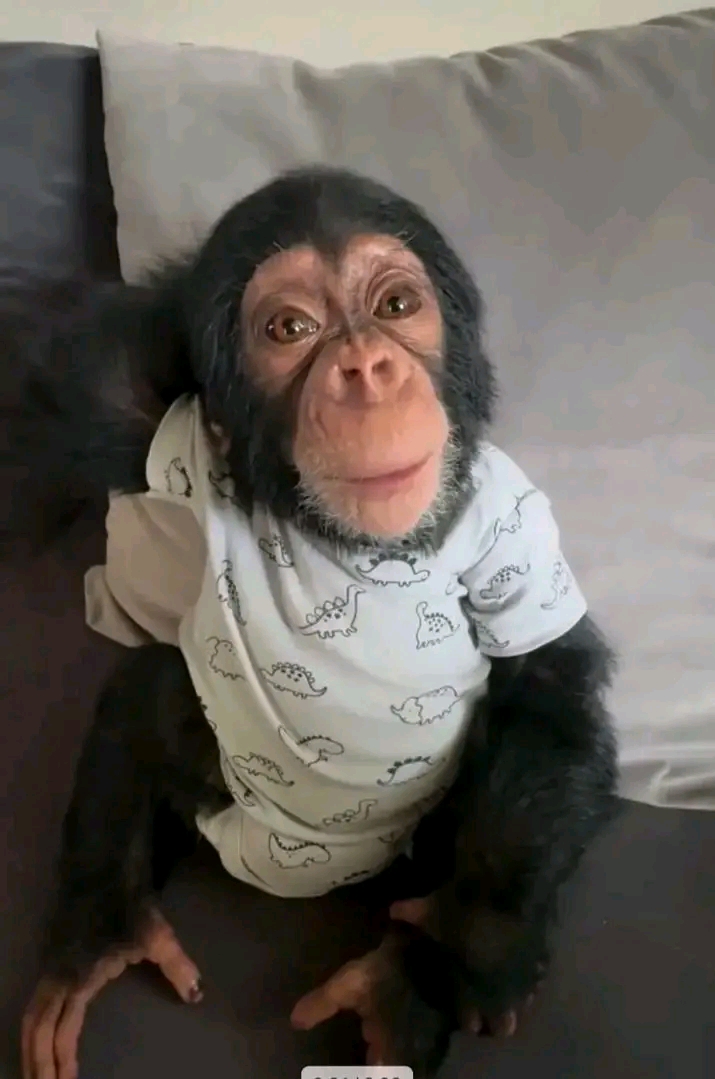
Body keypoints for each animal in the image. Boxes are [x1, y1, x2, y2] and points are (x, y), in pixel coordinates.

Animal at [4, 166, 619, 1079]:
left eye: (396, 305)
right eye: (290, 329)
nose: (367, 368)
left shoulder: (512, 528)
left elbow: (544, 687)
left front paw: (442, 963)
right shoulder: (145, 430)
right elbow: (84, 370)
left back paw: (401, 1002)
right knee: (151, 682)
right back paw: (104, 925)